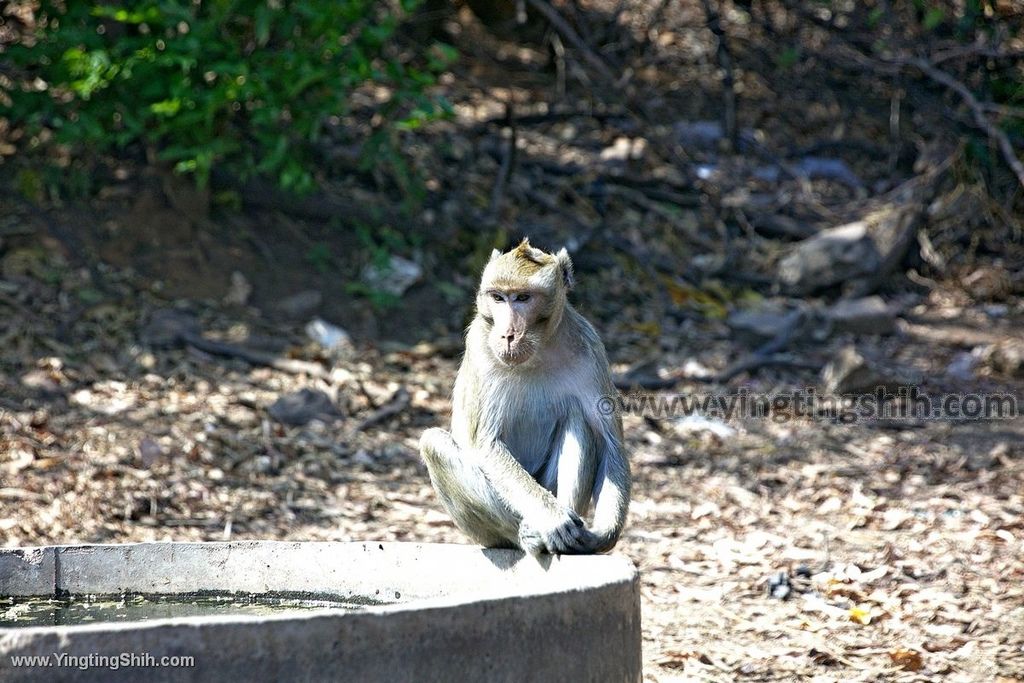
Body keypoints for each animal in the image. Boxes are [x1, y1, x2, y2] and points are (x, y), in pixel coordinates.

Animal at [417, 237, 626, 552]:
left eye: (523, 298)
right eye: (498, 298)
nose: (508, 335)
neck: (538, 352)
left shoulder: (591, 351)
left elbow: (610, 445)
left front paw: (602, 535)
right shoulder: (480, 345)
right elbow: (485, 445)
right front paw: (553, 519)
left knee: (578, 420)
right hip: (486, 534)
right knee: (434, 443)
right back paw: (527, 533)